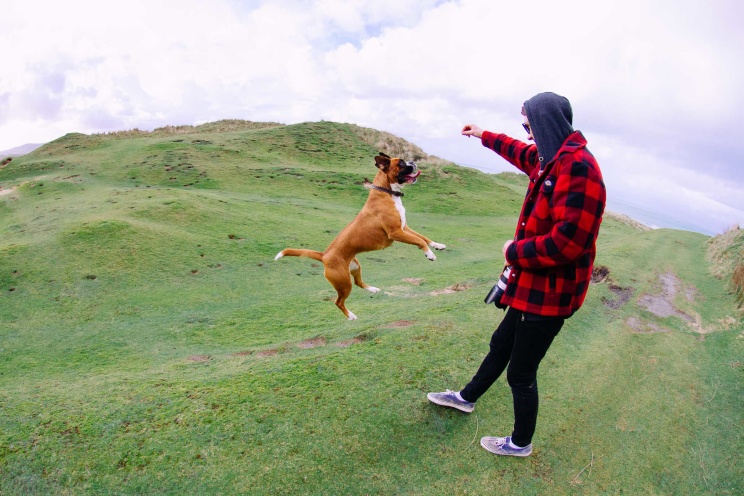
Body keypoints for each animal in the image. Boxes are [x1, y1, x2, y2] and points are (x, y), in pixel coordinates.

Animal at [274, 153, 444, 320]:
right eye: (401, 163)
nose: (413, 162)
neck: (386, 192)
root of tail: (324, 255)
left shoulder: (404, 228)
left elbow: (423, 237)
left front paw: (437, 245)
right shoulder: (396, 232)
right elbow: (419, 240)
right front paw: (429, 254)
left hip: (355, 268)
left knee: (358, 283)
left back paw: (373, 289)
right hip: (343, 283)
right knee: (339, 301)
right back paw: (351, 316)